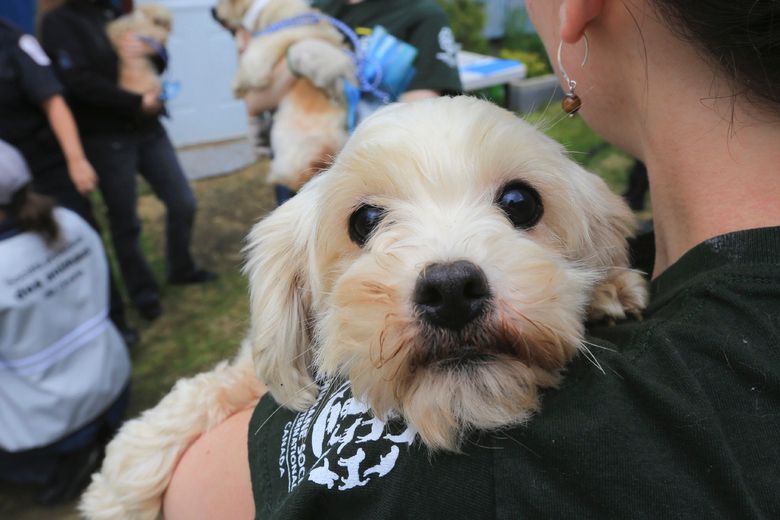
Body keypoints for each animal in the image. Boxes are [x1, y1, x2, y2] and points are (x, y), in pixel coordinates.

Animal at [79, 97, 644, 520]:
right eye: (365, 219)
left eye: (520, 202)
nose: (452, 290)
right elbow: (203, 394)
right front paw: (116, 491)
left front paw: (609, 287)